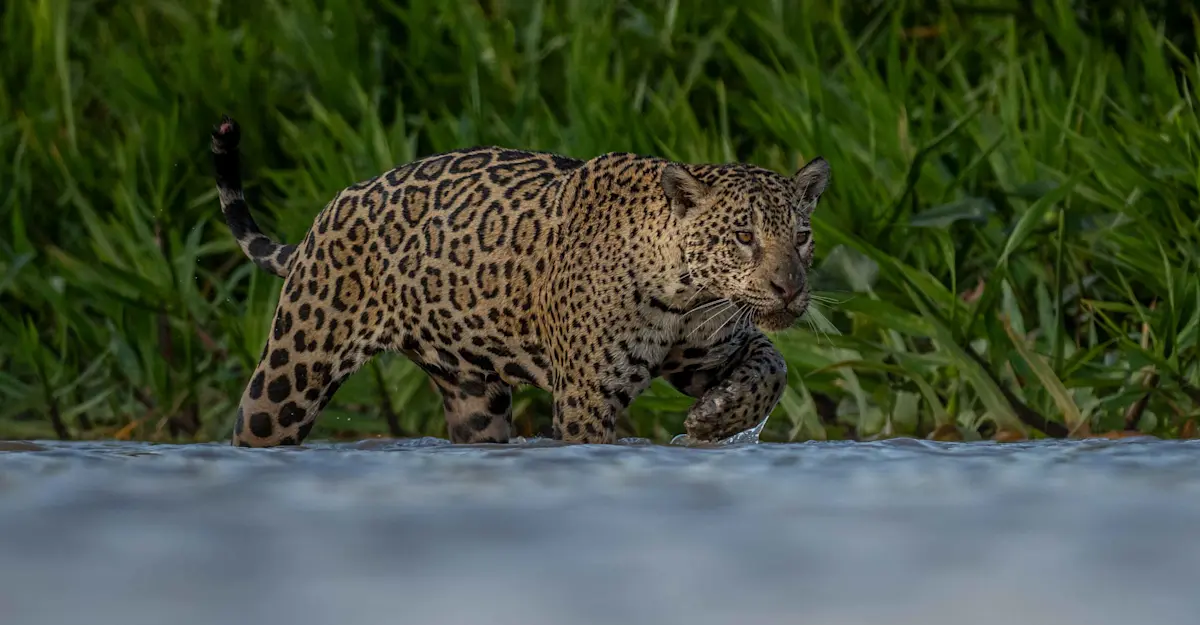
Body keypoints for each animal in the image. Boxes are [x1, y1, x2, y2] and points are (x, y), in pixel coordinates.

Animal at [210, 115, 830, 447]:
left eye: (801, 236)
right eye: (744, 236)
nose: (790, 289)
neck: (682, 293)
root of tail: (331, 208)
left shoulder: (705, 353)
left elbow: (772, 367)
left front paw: (716, 418)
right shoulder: (586, 397)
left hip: (474, 398)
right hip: (292, 371)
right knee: (257, 425)